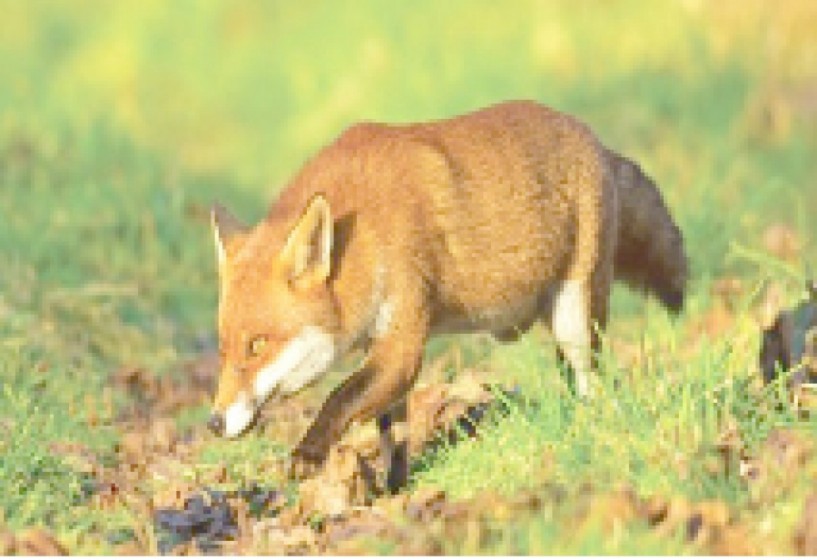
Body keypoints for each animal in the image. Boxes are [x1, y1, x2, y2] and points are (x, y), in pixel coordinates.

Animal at [207, 100, 684, 476]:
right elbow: (389, 431)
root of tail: (595, 140)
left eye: (257, 345)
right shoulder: (382, 348)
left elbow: (340, 397)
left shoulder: (403, 340)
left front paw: (308, 452)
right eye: (224, 348)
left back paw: (588, 432)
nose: (213, 423)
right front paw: (393, 489)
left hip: (577, 321)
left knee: (595, 385)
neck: (368, 235)